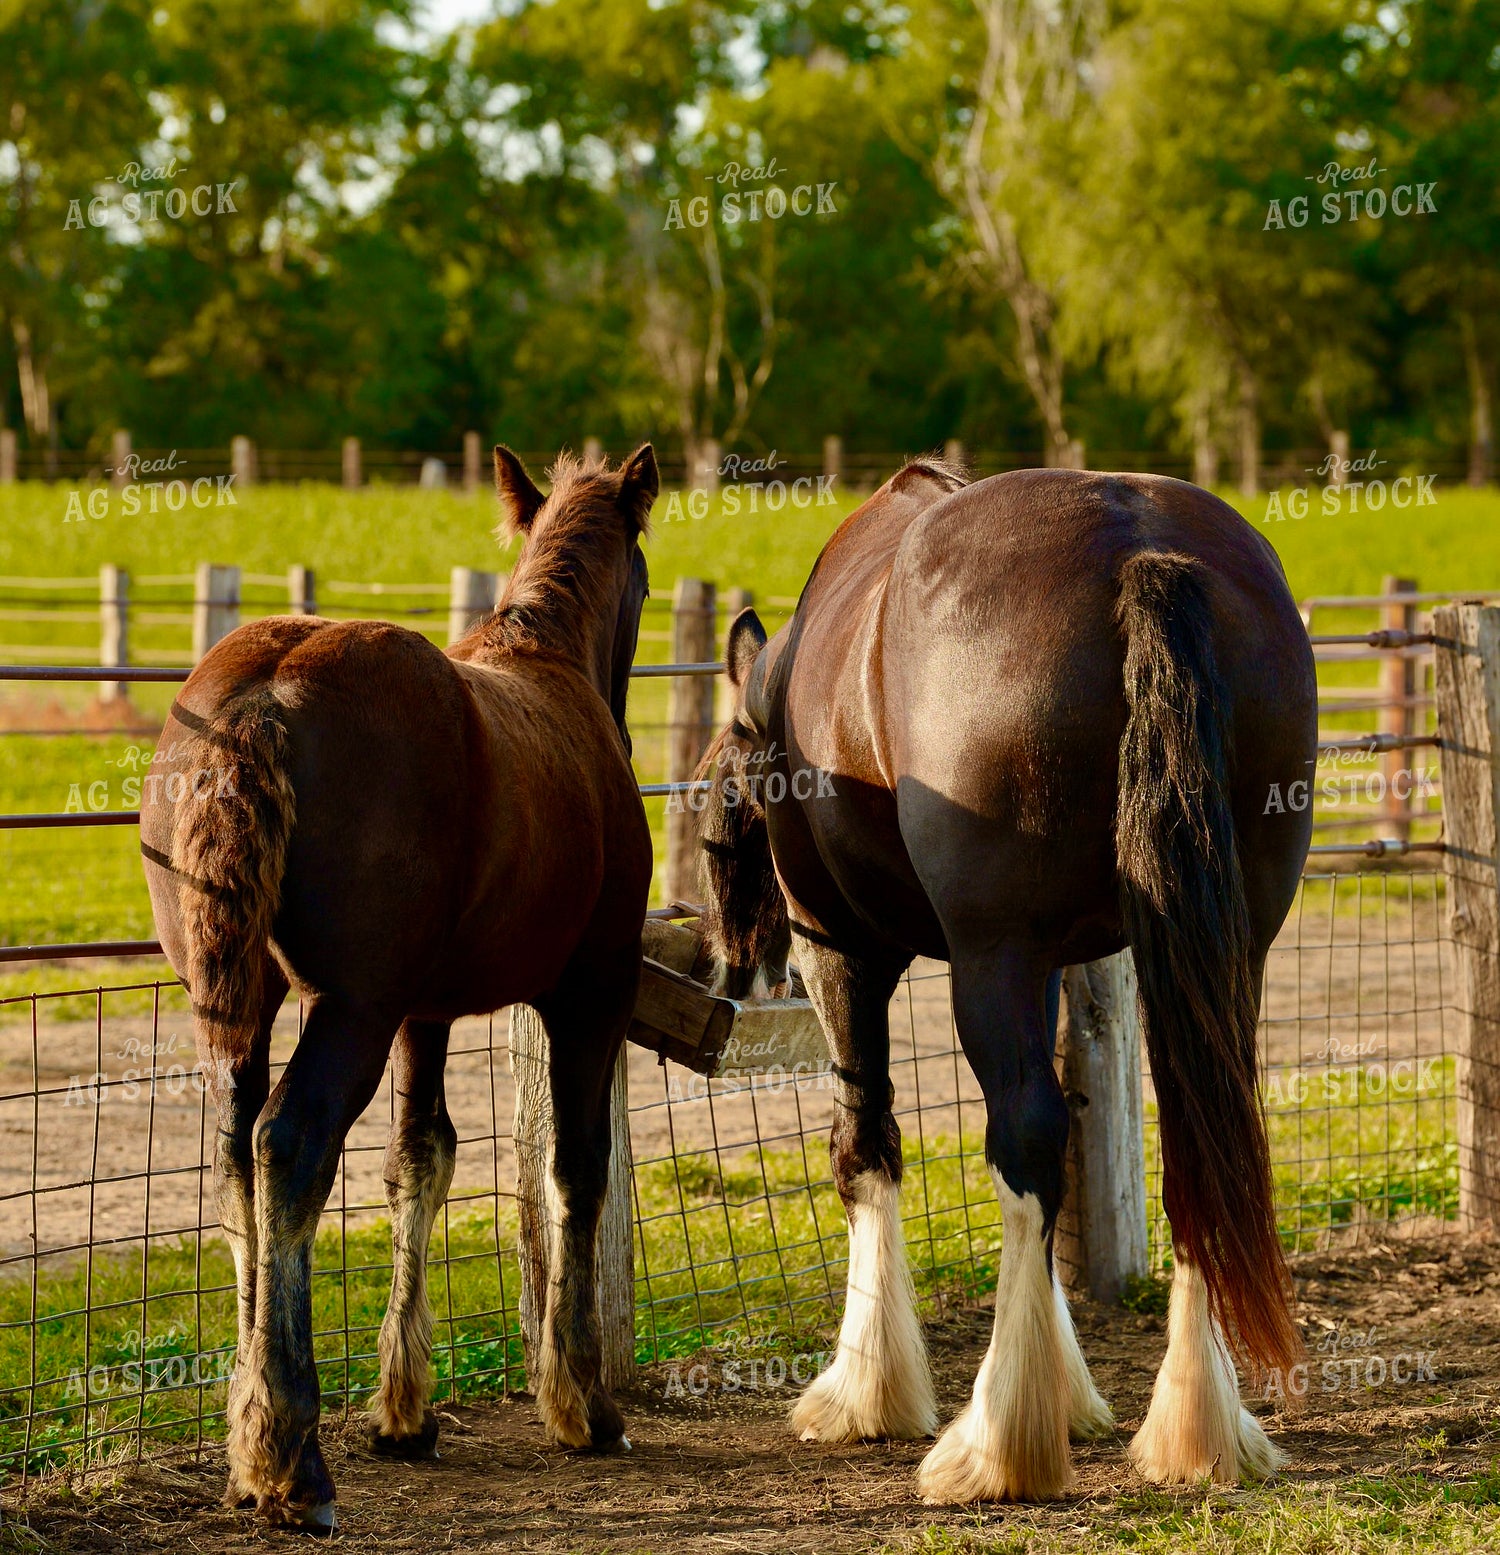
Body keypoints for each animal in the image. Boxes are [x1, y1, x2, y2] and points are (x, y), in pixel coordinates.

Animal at [139, 445, 658, 1530]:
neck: (546, 663)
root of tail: (259, 699)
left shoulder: (427, 1010)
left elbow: (422, 1159)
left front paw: (405, 1408)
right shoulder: (590, 992)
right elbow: (575, 1167)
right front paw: (581, 1400)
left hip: (240, 1003)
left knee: (238, 1152)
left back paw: (250, 1442)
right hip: (351, 1010)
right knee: (289, 1144)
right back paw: (291, 1457)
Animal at [695, 458, 1316, 1501]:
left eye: (711, 823)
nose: (734, 960)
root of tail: (1138, 547)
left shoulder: (841, 950)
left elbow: (865, 1144)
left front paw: (868, 1391)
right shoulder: (1067, 963)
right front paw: (1071, 1390)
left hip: (990, 956)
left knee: (1025, 1137)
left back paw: (998, 1444)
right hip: (1229, 950)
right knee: (1197, 1145)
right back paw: (1195, 1429)